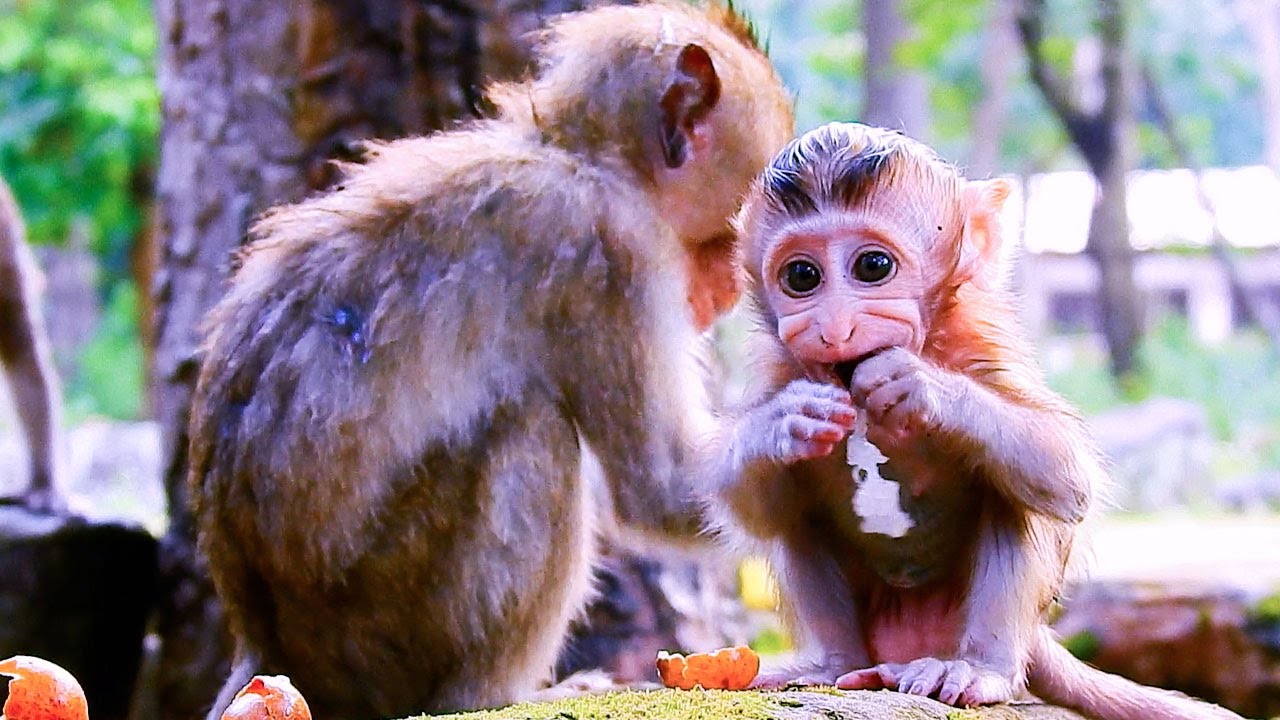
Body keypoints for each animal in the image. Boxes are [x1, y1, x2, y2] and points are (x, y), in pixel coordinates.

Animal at [186, 3, 793, 719]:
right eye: (729, 233)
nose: (727, 291)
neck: (578, 155)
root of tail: (266, 642)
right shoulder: (611, 251)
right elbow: (661, 485)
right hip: (382, 621)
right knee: (533, 433)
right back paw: (494, 694)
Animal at [703, 122, 1243, 720]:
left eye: (873, 267)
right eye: (802, 276)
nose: (835, 327)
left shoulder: (981, 343)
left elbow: (1065, 472)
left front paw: (924, 389)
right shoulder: (781, 367)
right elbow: (762, 510)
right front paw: (780, 425)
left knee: (1016, 492)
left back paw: (980, 669)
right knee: (800, 516)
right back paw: (833, 664)